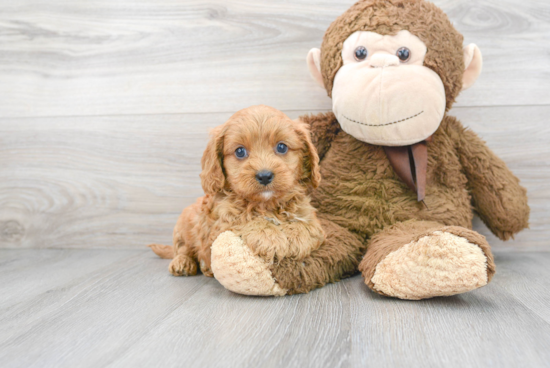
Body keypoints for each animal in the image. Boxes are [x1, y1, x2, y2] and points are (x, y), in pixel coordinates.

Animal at [149, 105, 326, 278]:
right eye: (240, 151)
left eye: (281, 147)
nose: (264, 176)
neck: (266, 204)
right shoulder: (219, 224)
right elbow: (245, 219)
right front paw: (271, 238)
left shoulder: (310, 216)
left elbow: (309, 226)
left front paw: (296, 238)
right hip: (184, 225)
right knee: (182, 249)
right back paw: (183, 263)